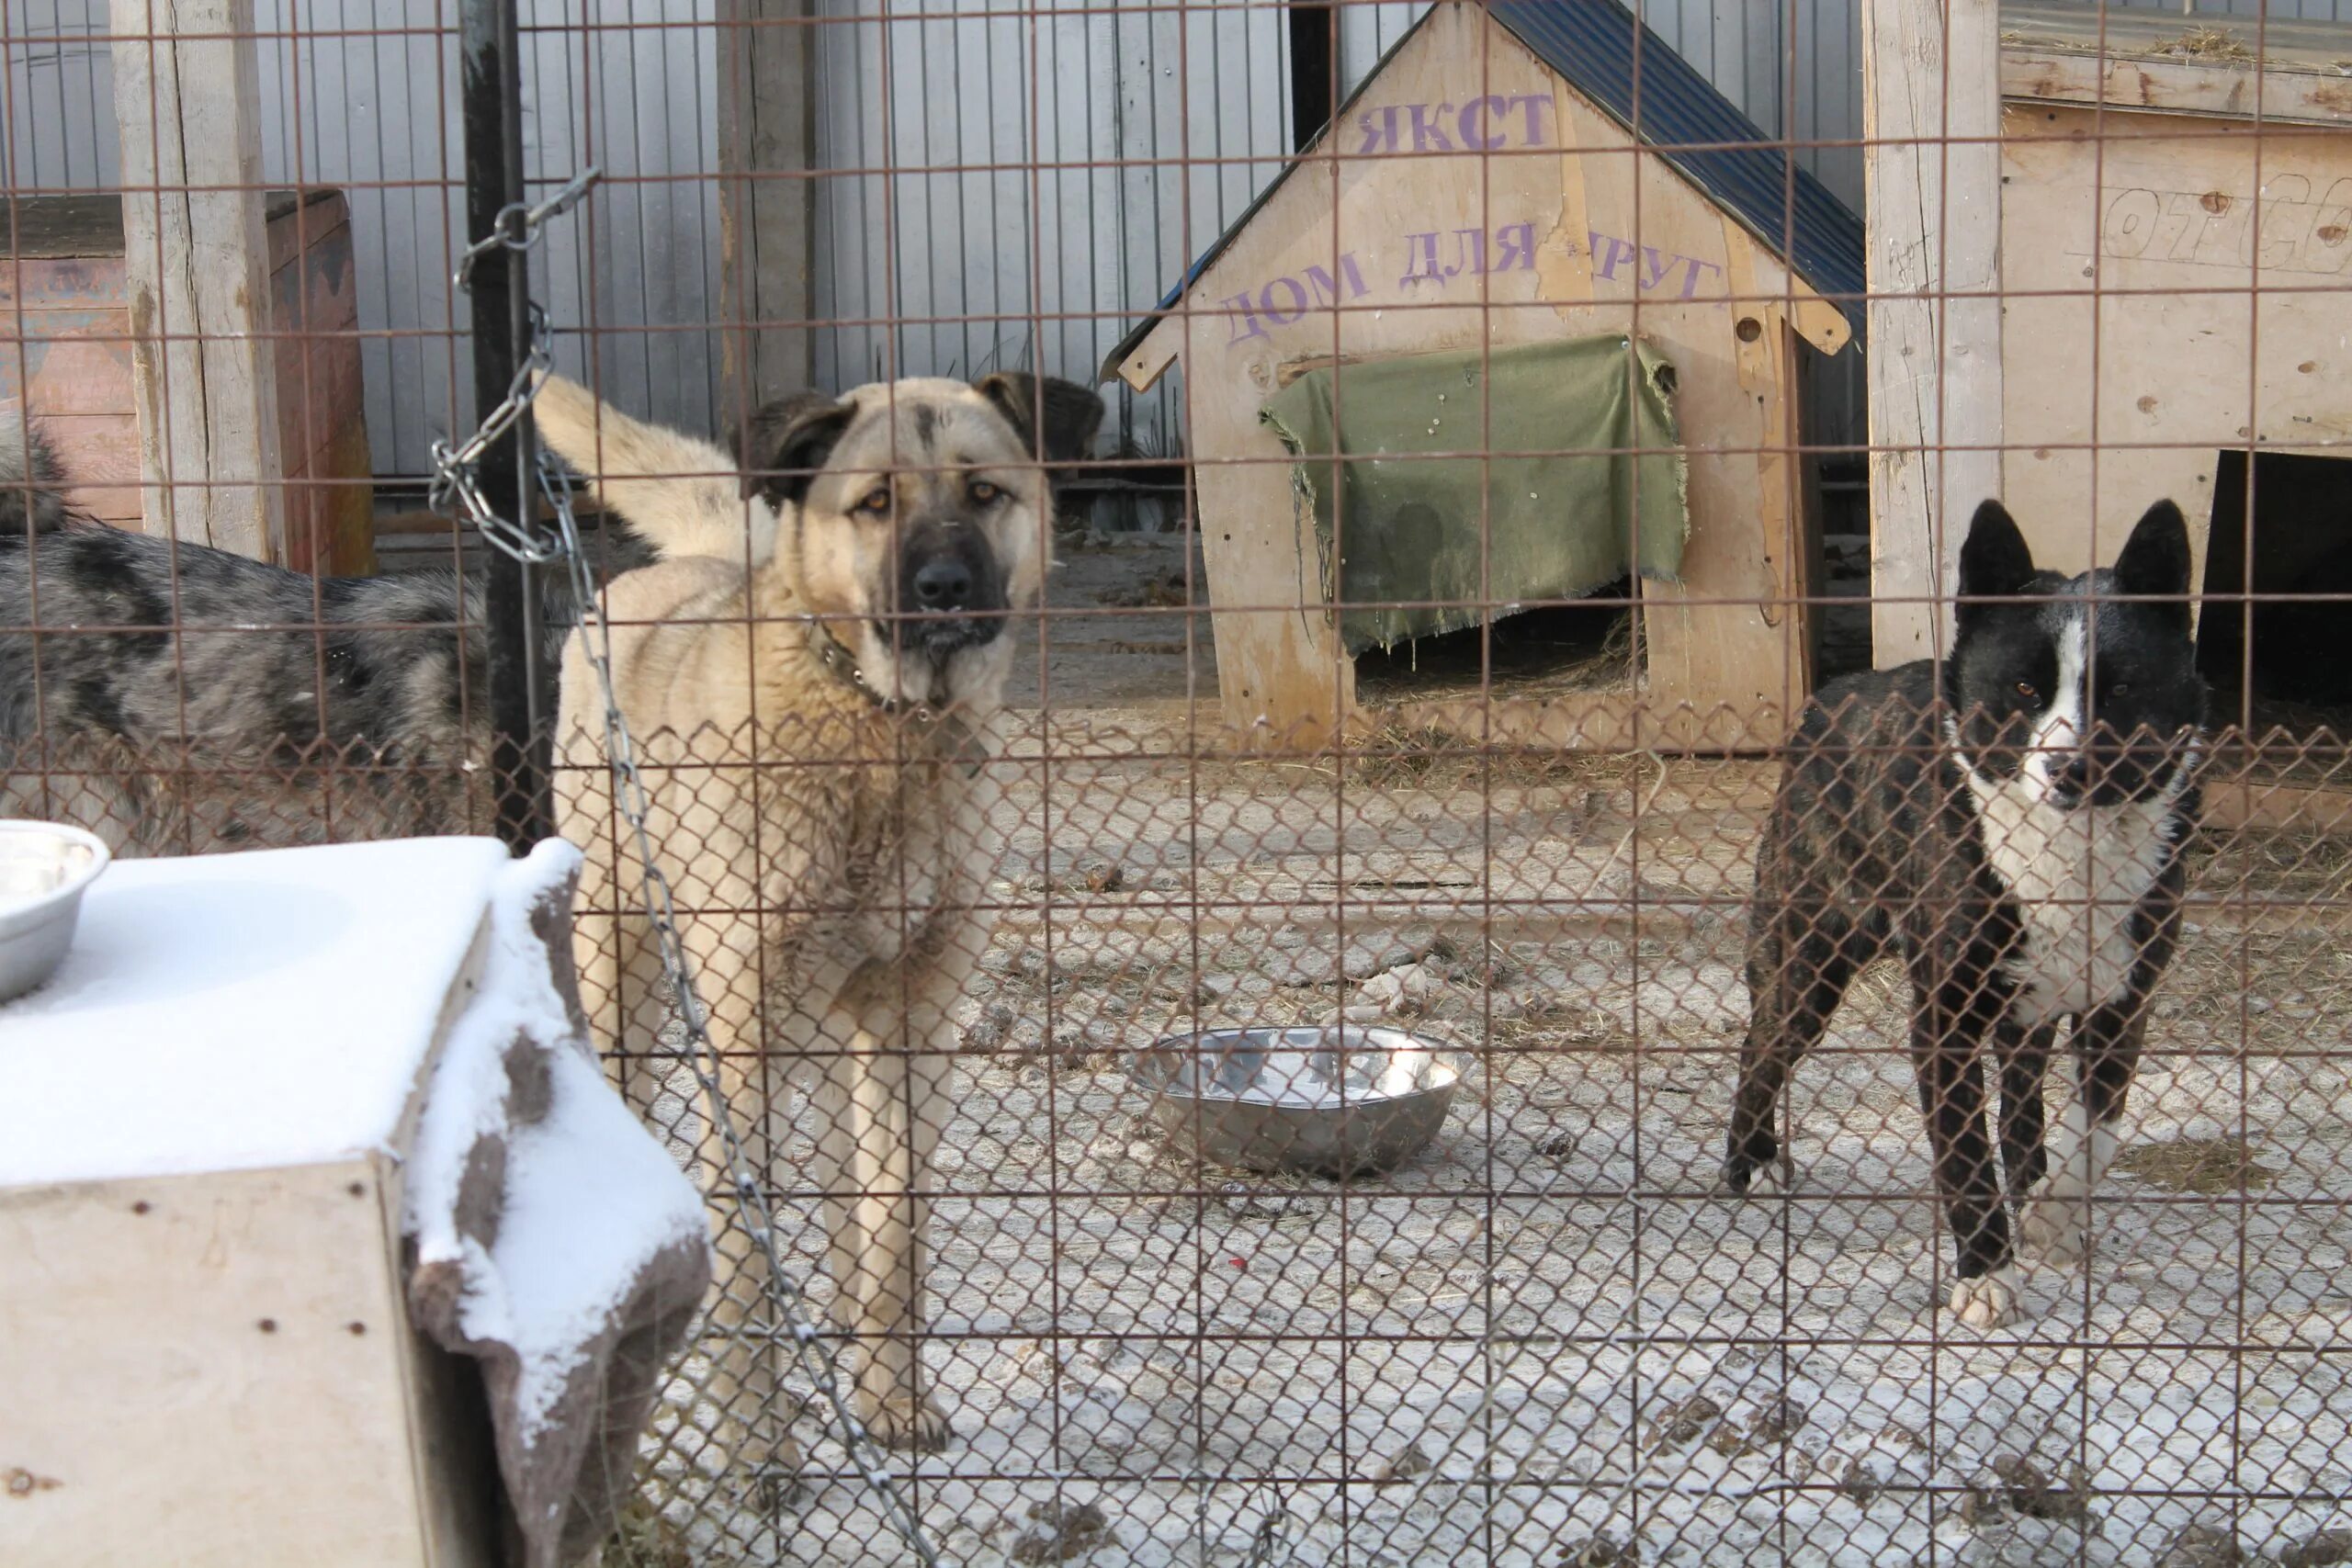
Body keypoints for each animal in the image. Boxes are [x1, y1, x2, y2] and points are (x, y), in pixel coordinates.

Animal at [538, 373, 1105, 1466]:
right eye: (874, 503)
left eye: (983, 492)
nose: (943, 587)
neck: (880, 732)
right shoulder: (743, 1039)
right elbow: (749, 1264)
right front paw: (760, 1450)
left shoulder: (911, 1026)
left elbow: (895, 1236)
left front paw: (890, 1397)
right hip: (620, 965)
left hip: (838, 1032)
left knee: (851, 1196)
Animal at [1731, 501, 2201, 1325]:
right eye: (2022, 688)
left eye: (2118, 689)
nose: (2068, 767)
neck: (2066, 852)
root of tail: (1831, 697)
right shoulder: (1943, 1023)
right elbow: (1964, 1159)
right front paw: (1986, 1274)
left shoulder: (2121, 1004)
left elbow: (2096, 1129)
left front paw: (2051, 1215)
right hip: (1806, 966)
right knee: (1760, 1049)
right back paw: (1746, 1164)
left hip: (2022, 1012)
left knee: (2022, 1107)